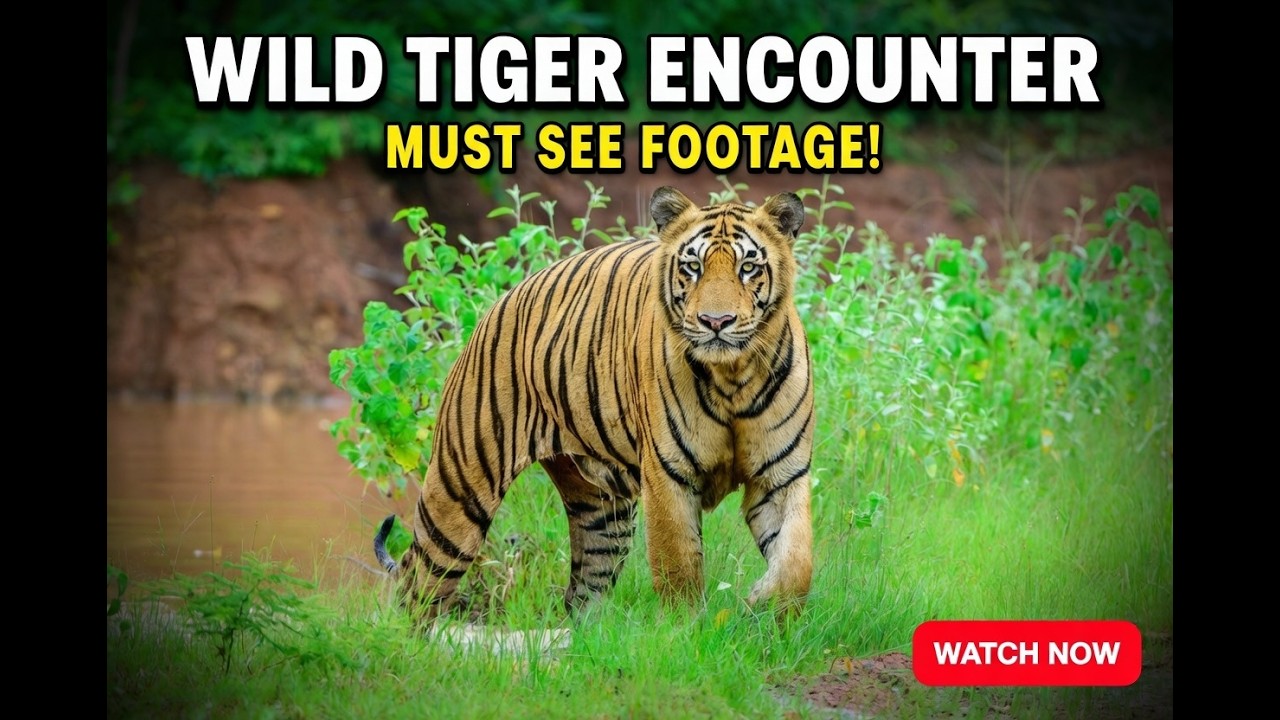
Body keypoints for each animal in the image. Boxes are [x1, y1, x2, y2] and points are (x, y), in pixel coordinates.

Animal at [374, 186, 815, 622]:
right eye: (692, 267)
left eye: (748, 268)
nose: (716, 322)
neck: (732, 378)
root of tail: (502, 300)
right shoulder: (669, 476)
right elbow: (679, 568)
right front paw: (688, 628)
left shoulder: (782, 476)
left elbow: (796, 561)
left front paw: (764, 603)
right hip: (460, 492)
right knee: (414, 586)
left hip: (602, 513)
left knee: (581, 595)